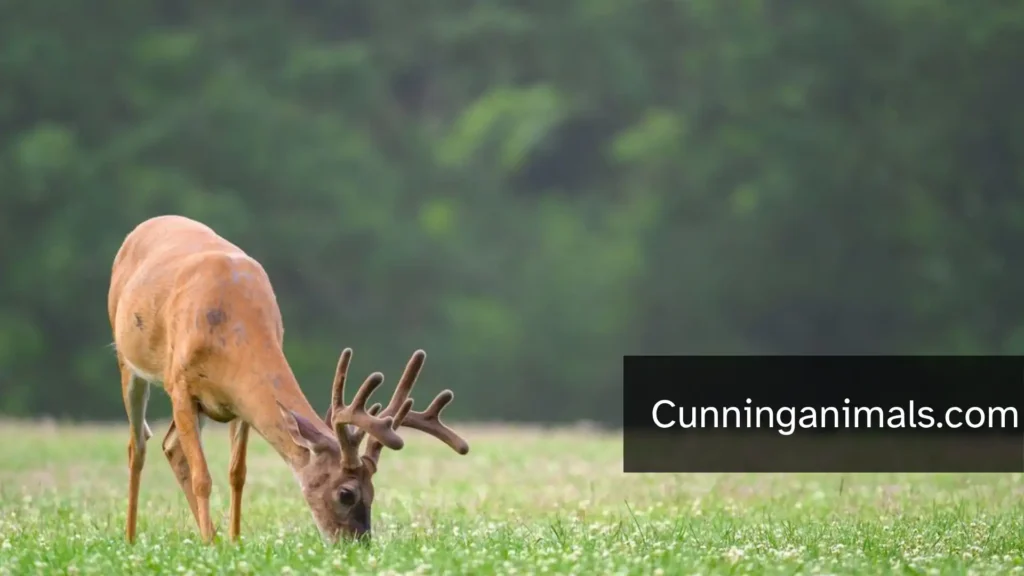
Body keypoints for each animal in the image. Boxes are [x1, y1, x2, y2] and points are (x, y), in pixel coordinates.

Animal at [107, 215, 469, 544]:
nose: (359, 543)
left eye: (373, 491)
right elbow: (203, 477)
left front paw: (234, 542)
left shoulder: (239, 402)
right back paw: (132, 537)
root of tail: (144, 226)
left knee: (170, 446)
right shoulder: (180, 384)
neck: (228, 329)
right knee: (137, 446)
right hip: (128, 361)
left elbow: (237, 473)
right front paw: (211, 543)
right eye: (346, 493)